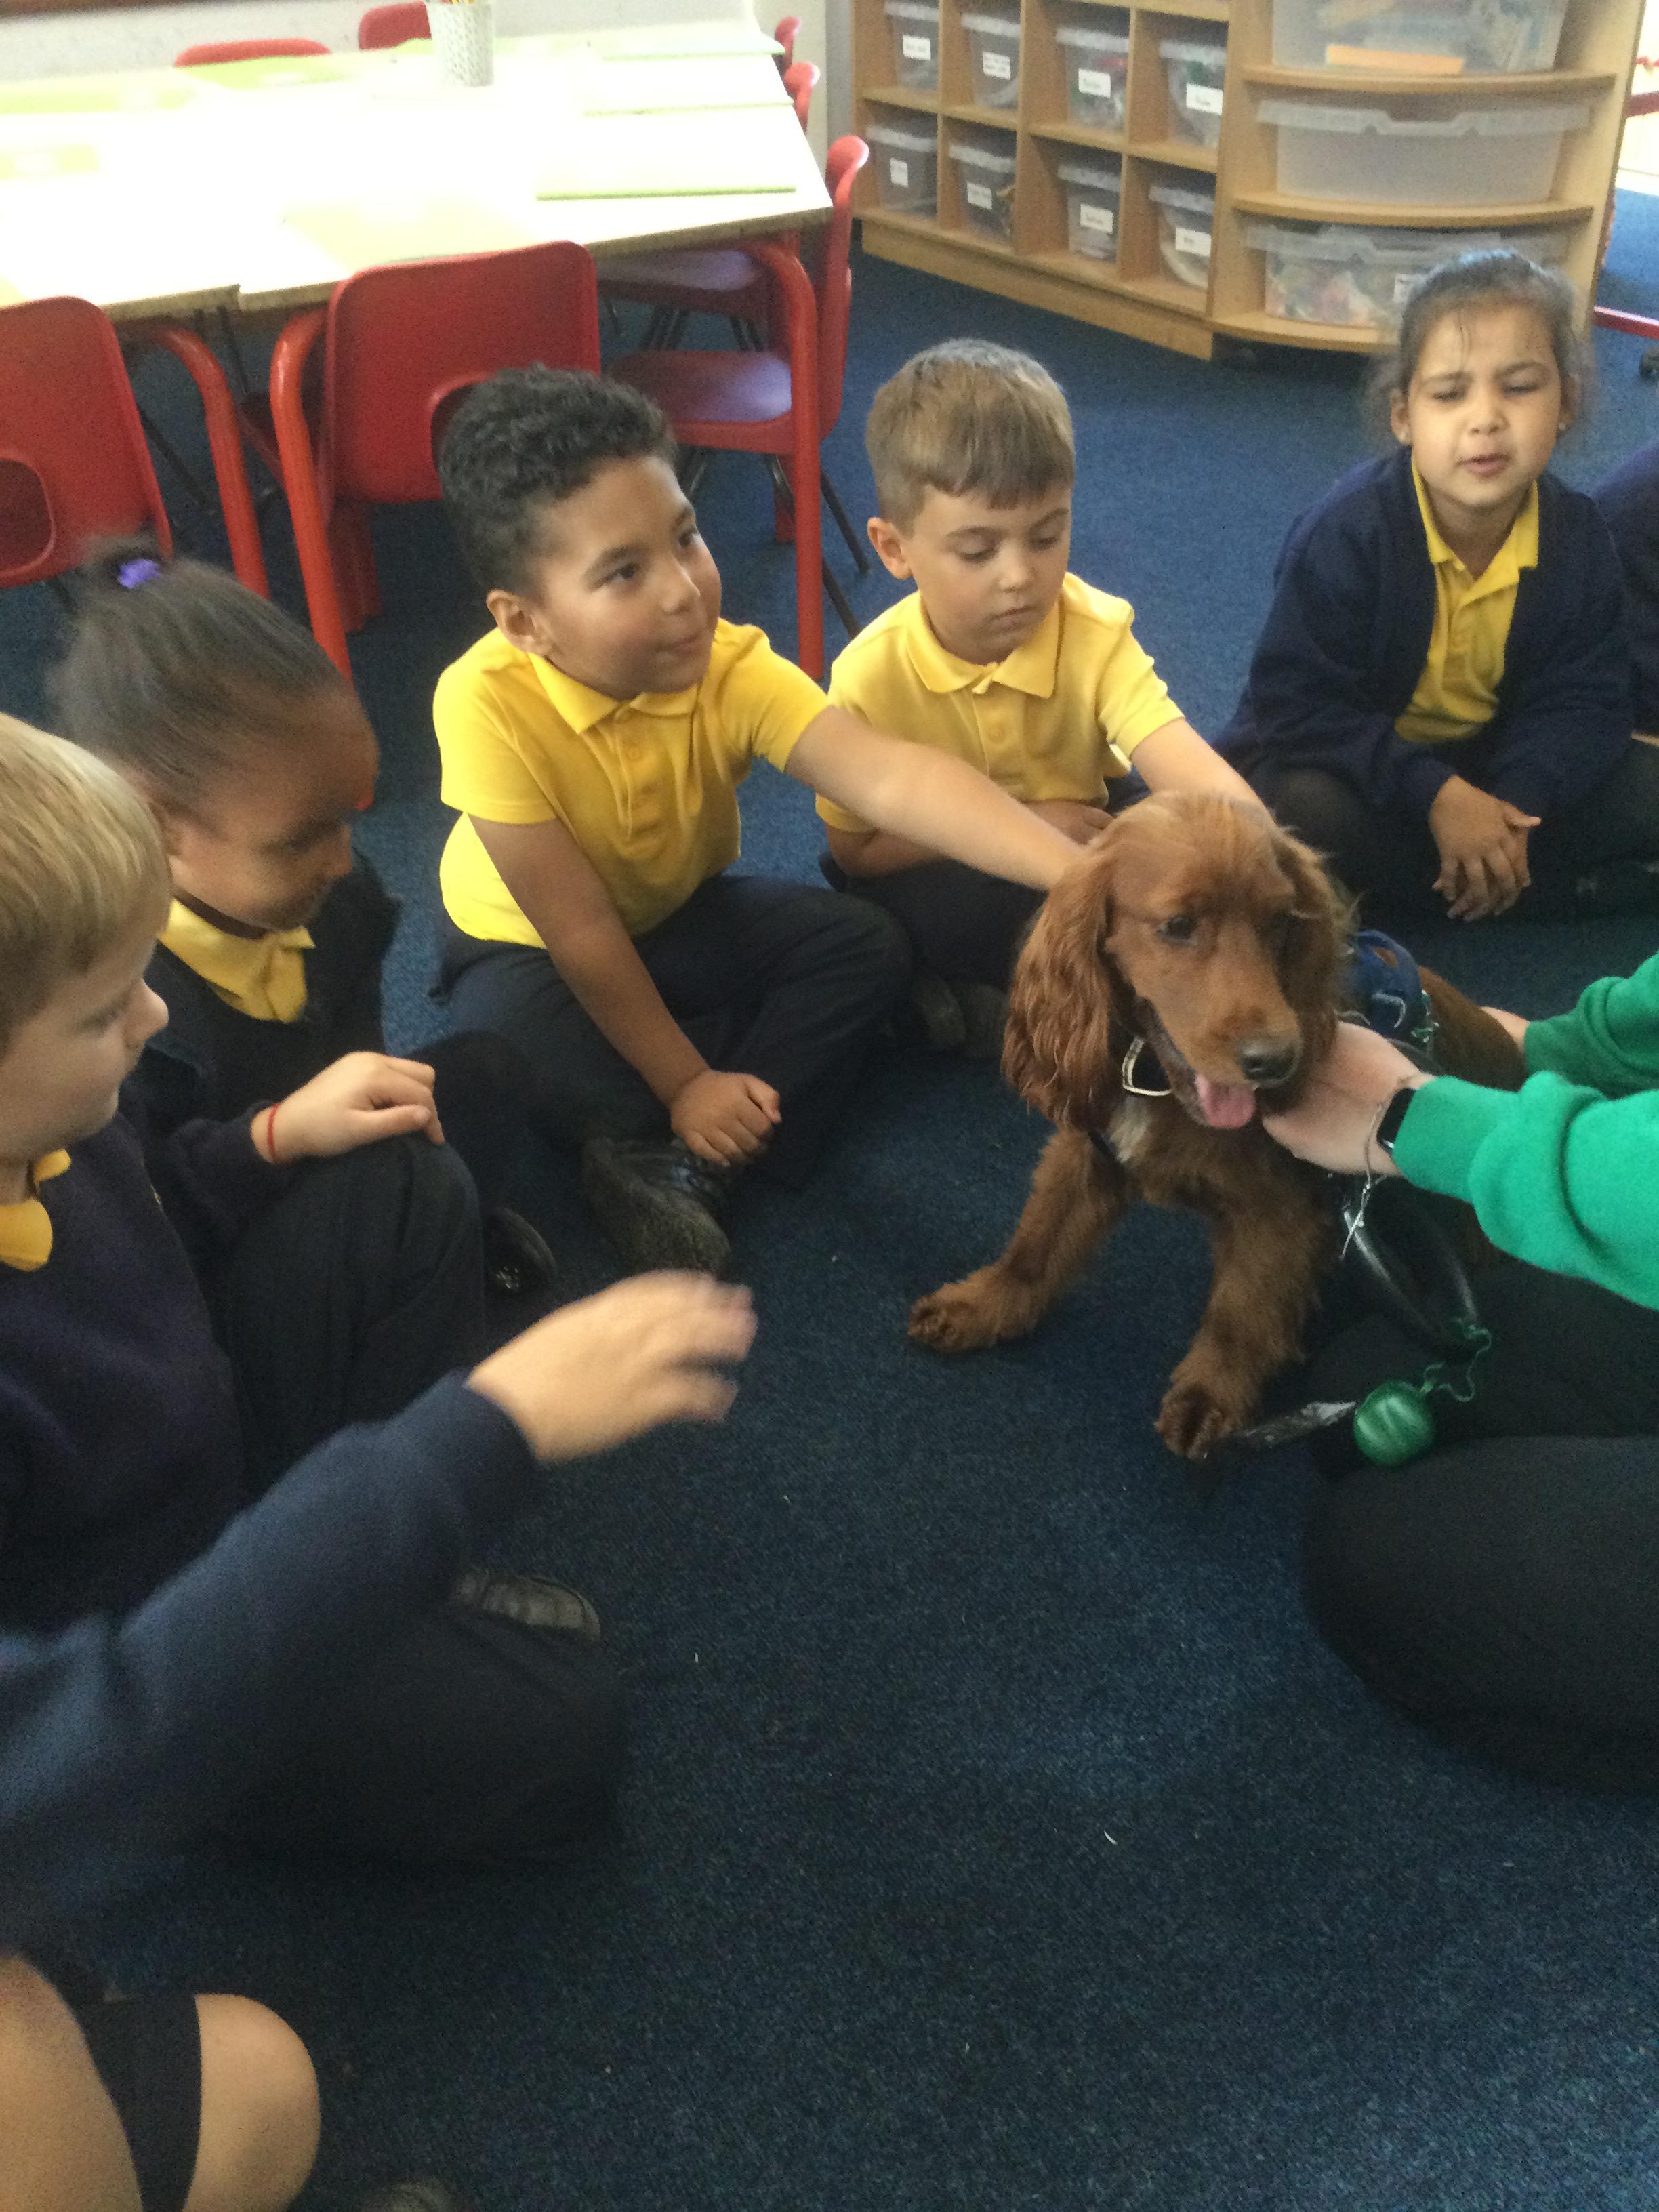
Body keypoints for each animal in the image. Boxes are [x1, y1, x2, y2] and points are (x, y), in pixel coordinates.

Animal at [909, 792, 1525, 1459]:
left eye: (1281, 921)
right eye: (1179, 925)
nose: (1275, 1061)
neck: (1157, 1078)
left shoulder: (1279, 1211)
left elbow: (1239, 1311)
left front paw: (1209, 1398)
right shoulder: (1087, 1154)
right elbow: (1035, 1245)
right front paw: (982, 1304)